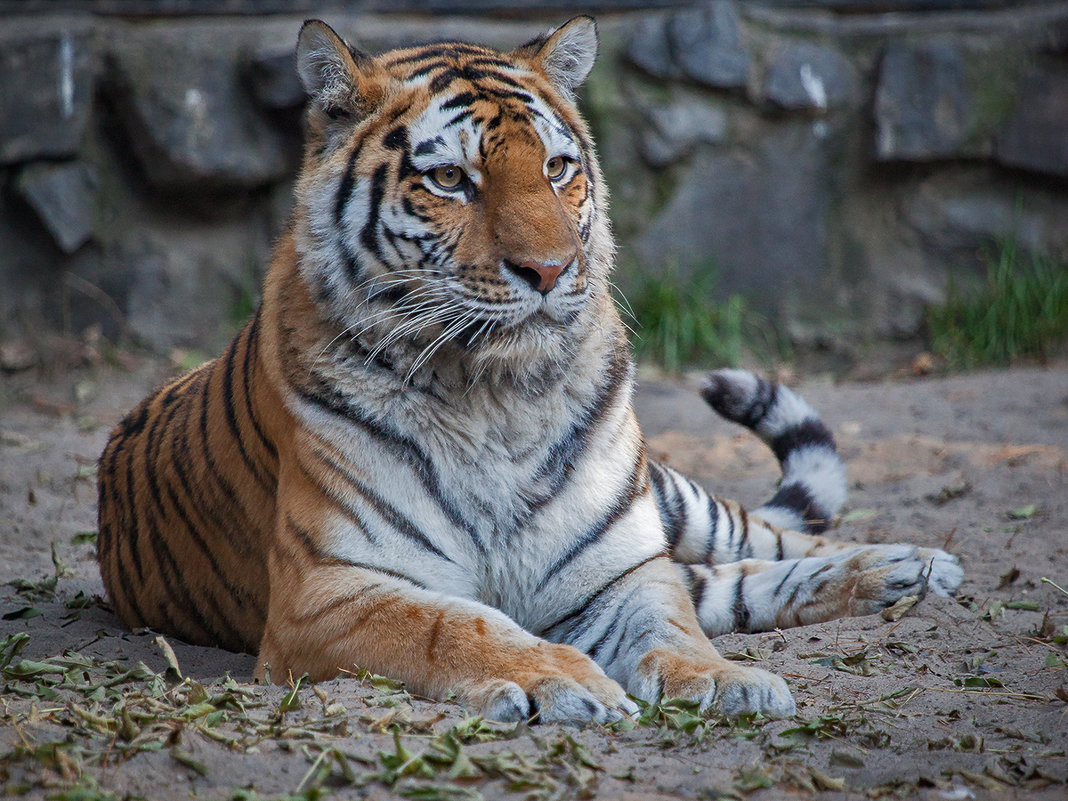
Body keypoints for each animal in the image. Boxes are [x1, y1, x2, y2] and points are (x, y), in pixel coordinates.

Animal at [100, 18, 965, 726]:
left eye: (556, 167)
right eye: (450, 179)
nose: (551, 270)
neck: (495, 397)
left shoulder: (621, 565)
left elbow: (670, 622)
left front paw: (721, 677)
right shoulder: (328, 590)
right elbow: (454, 622)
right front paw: (566, 678)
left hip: (665, 497)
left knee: (760, 542)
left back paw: (911, 562)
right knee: (721, 576)